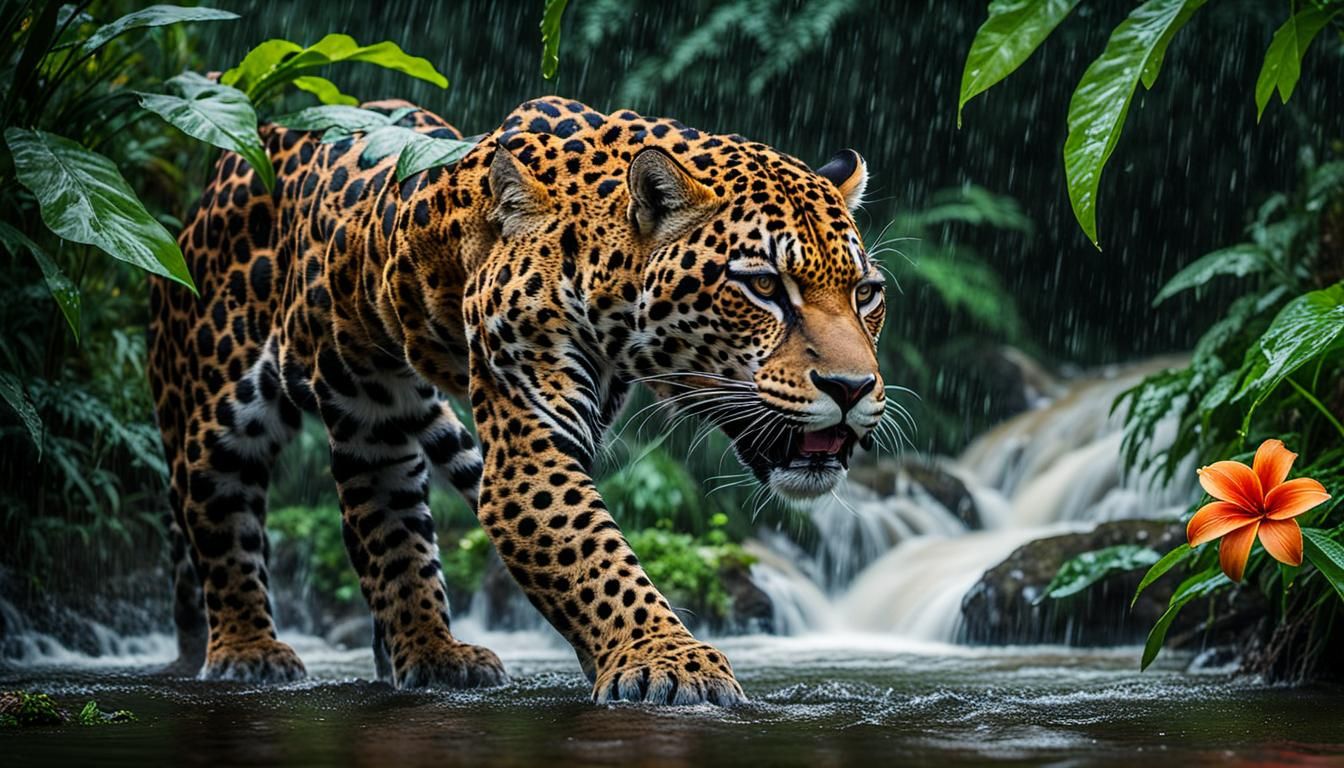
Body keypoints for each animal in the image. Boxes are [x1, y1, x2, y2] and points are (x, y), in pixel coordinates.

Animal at [148, 95, 885, 705]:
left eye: (866, 294)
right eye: (762, 285)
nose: (853, 389)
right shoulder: (530, 442)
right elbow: (597, 558)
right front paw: (668, 661)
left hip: (376, 418)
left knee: (386, 525)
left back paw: (429, 652)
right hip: (215, 407)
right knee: (218, 514)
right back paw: (249, 650)